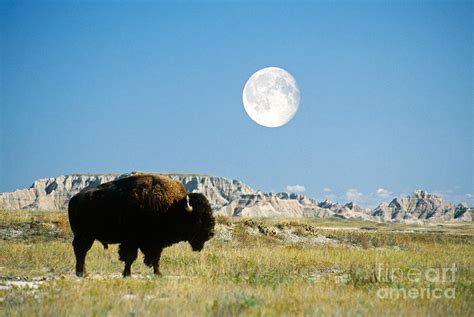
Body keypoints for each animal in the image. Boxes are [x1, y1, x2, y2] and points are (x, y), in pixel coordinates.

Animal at [67, 173, 216, 276]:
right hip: (84, 236)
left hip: (87, 236)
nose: (211, 233)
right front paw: (127, 274)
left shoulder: (155, 243)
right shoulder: (132, 241)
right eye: (199, 217)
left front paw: (158, 273)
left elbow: (155, 259)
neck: (173, 207)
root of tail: (74, 199)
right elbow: (130, 257)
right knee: (81, 251)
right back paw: (82, 273)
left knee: (81, 251)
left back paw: (82, 273)